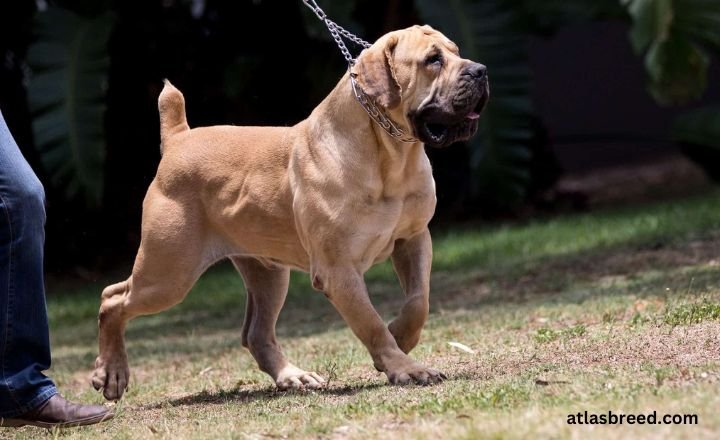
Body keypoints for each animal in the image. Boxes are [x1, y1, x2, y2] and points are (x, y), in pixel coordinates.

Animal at [91, 24, 490, 402]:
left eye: (457, 51)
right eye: (432, 60)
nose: (481, 70)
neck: (389, 154)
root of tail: (179, 138)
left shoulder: (414, 239)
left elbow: (418, 301)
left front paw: (401, 337)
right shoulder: (338, 270)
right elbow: (370, 322)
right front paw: (405, 367)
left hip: (266, 273)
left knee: (256, 333)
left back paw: (292, 376)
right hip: (169, 272)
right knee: (113, 298)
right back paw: (110, 374)